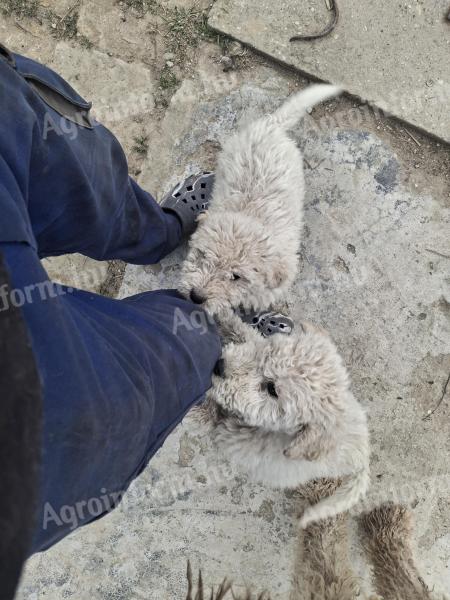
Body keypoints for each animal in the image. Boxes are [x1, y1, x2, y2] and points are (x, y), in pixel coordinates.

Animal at [202, 316, 370, 528]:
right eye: (265, 351)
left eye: (272, 389)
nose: (219, 365)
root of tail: (364, 458)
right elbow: (244, 332)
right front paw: (222, 314)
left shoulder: (234, 435)